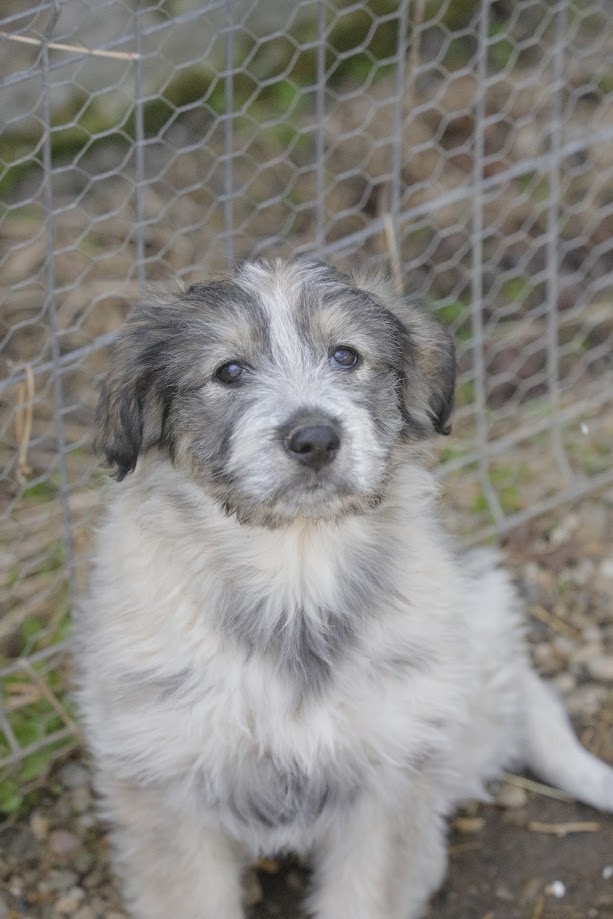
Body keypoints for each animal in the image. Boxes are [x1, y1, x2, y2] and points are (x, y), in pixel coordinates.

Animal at [75, 258, 612, 919]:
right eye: (229, 370)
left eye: (346, 356)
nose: (315, 439)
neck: (297, 569)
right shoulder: (166, 785)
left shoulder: (391, 772)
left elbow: (366, 894)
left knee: (530, 701)